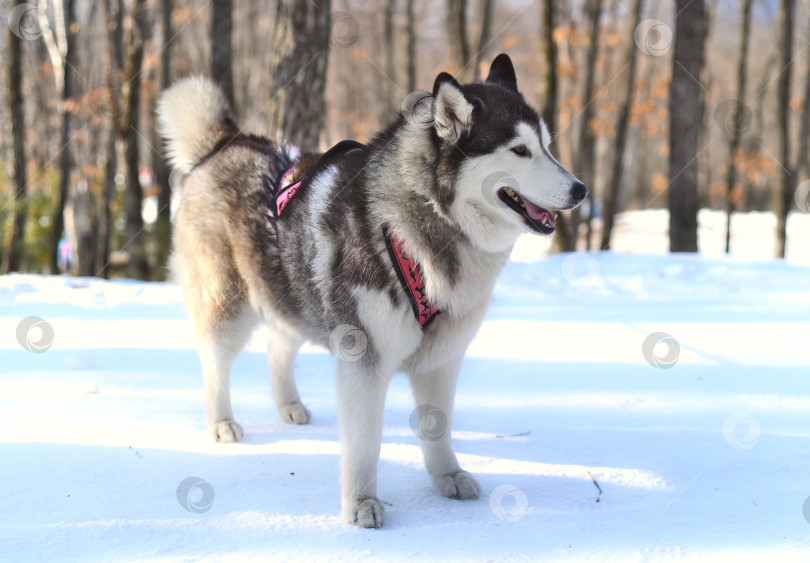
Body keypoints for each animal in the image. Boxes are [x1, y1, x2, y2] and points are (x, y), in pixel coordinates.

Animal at [156, 54, 588, 528]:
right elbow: (366, 443)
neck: (426, 222)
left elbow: (437, 425)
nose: (581, 189)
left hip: (293, 292)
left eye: (546, 145)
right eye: (519, 150)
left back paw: (290, 406)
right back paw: (221, 423)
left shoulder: (443, 358)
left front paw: (447, 477)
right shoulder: (364, 358)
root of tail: (228, 141)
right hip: (228, 307)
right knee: (215, 365)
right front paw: (361, 503)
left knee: (278, 347)